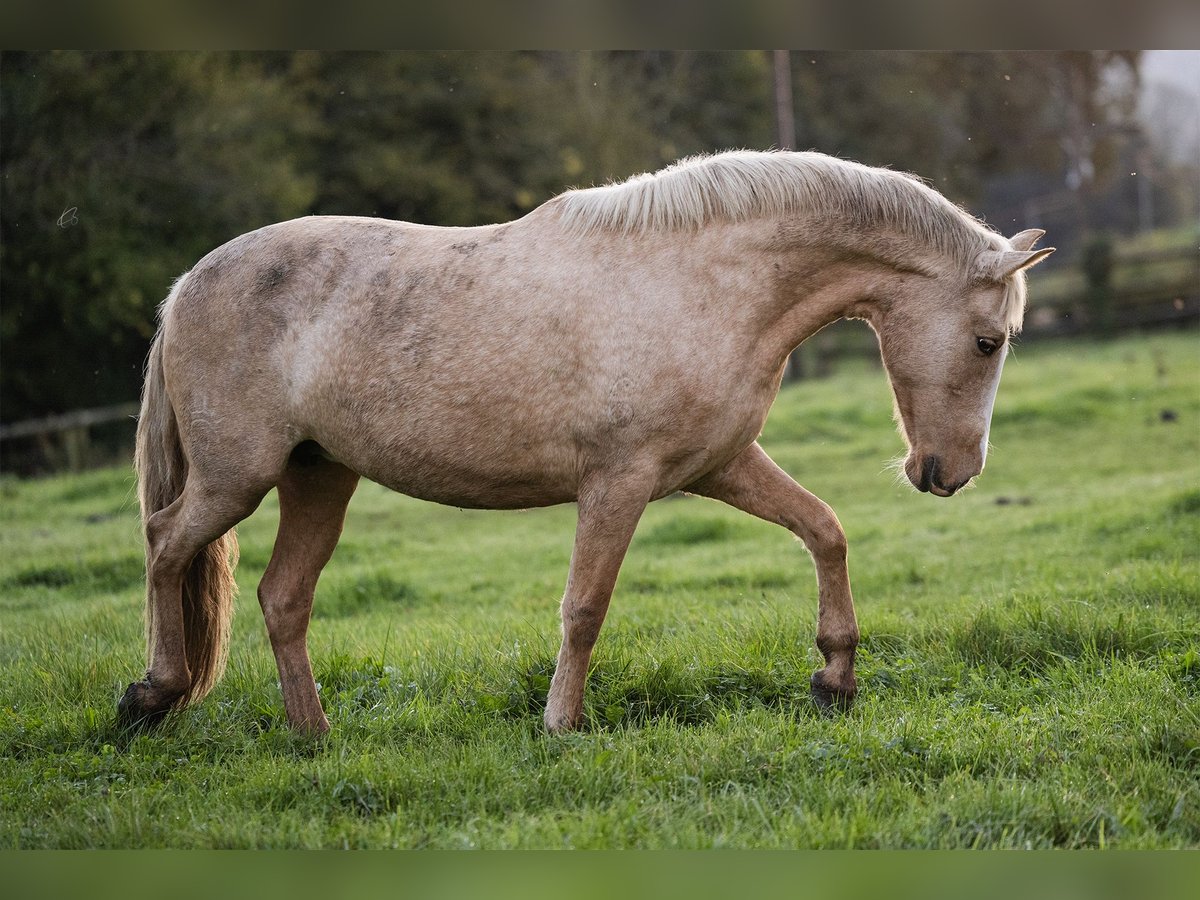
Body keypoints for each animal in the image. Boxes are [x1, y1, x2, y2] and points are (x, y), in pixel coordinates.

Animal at [119, 151, 1051, 734]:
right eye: (988, 342)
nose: (950, 473)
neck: (700, 282)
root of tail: (187, 285)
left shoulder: (719, 467)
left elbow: (825, 529)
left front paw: (834, 678)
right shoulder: (618, 482)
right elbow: (585, 606)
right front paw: (561, 724)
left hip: (319, 476)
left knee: (282, 599)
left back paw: (313, 736)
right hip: (238, 478)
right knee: (166, 543)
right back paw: (152, 695)